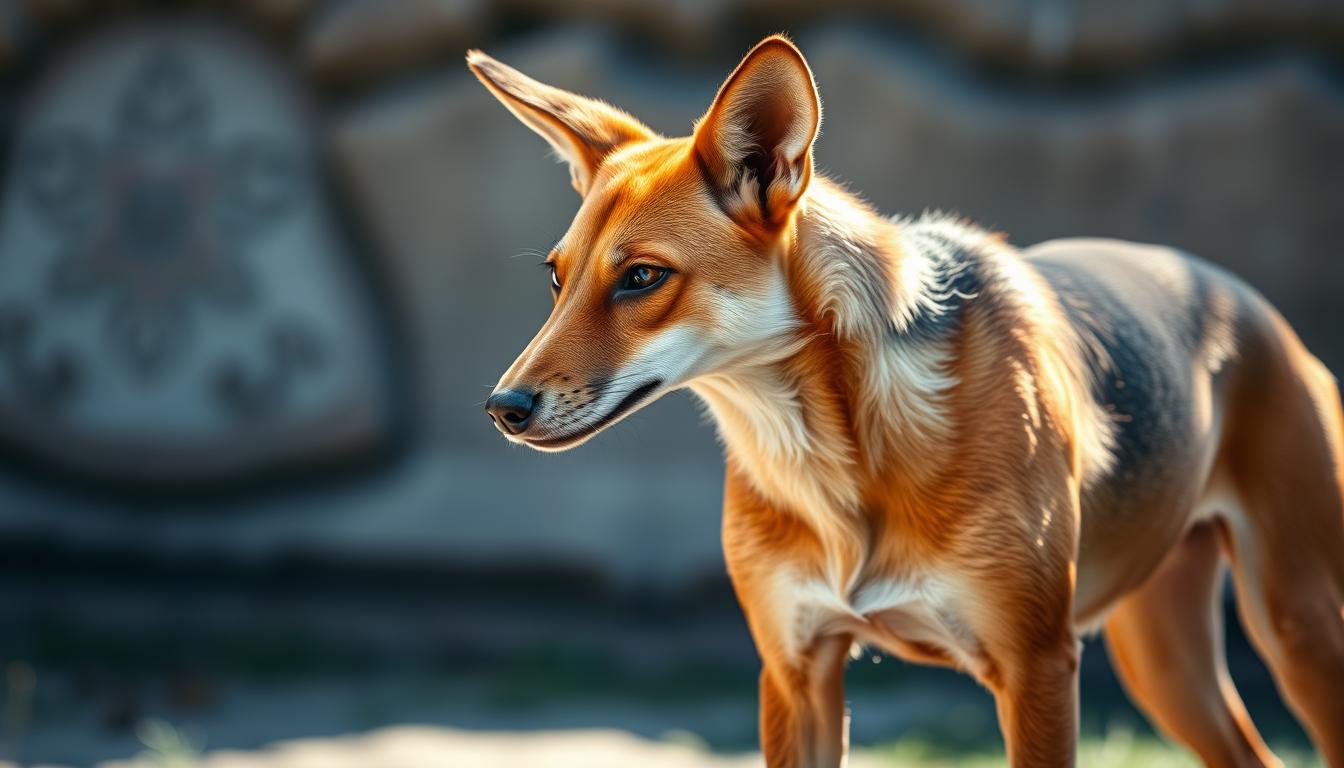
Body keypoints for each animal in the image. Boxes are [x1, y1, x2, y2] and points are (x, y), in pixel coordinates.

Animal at [467, 35, 1344, 767]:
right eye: (556, 279)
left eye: (642, 277)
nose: (502, 407)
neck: (839, 461)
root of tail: (1237, 294)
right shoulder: (795, 670)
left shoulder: (1037, 667)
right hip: (1162, 655)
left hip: (1297, 625)